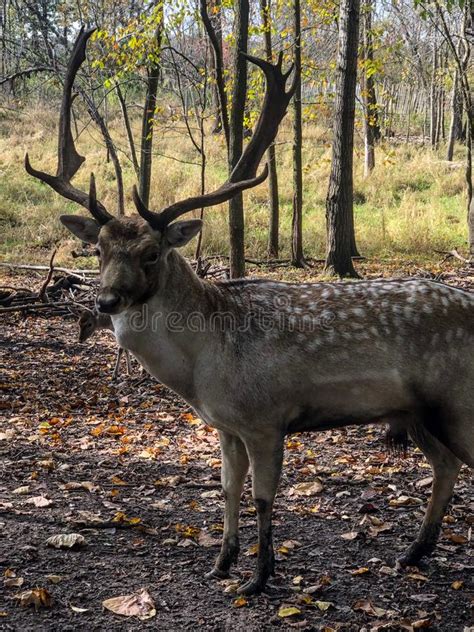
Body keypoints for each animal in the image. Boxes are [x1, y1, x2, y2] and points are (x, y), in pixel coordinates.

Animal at [26, 27, 474, 596]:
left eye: (152, 252)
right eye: (99, 249)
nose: (106, 301)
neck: (204, 368)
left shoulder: (266, 417)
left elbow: (263, 496)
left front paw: (258, 578)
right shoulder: (225, 425)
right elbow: (227, 489)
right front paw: (221, 562)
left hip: (458, 401)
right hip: (419, 414)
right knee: (446, 466)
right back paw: (413, 553)